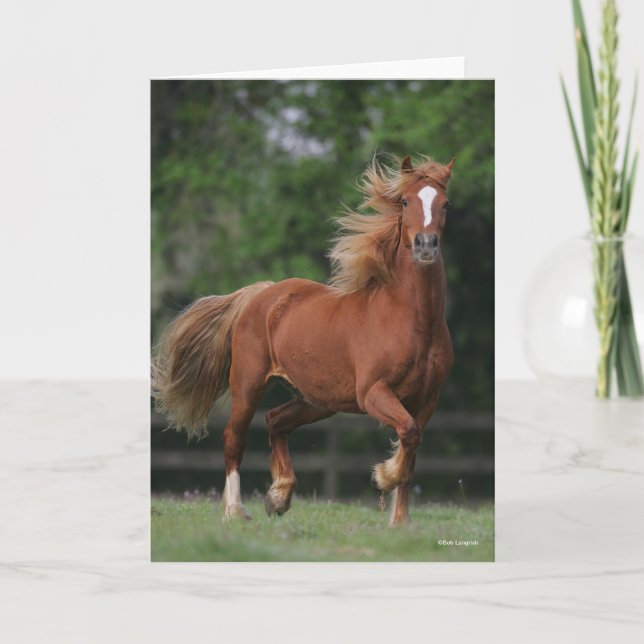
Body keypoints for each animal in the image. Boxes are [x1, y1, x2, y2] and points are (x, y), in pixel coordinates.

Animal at [153, 154, 455, 526]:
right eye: (405, 201)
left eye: (445, 203)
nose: (426, 246)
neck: (413, 323)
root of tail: (261, 294)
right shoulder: (373, 392)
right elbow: (408, 436)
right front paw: (382, 477)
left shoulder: (427, 400)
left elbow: (411, 447)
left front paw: (400, 523)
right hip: (248, 385)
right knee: (234, 440)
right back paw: (236, 511)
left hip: (317, 399)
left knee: (275, 421)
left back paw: (278, 496)